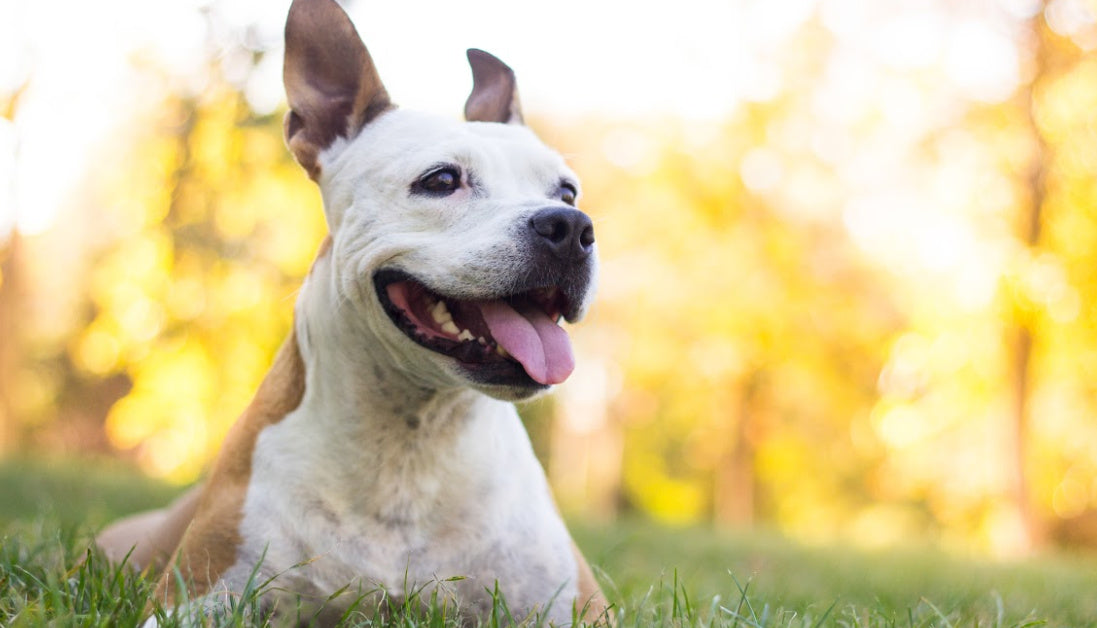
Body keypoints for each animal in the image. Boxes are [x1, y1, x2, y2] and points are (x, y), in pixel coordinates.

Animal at [92, 0, 609, 619]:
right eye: (442, 179)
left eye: (568, 192)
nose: (570, 228)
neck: (412, 442)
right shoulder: (192, 598)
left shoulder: (573, 603)